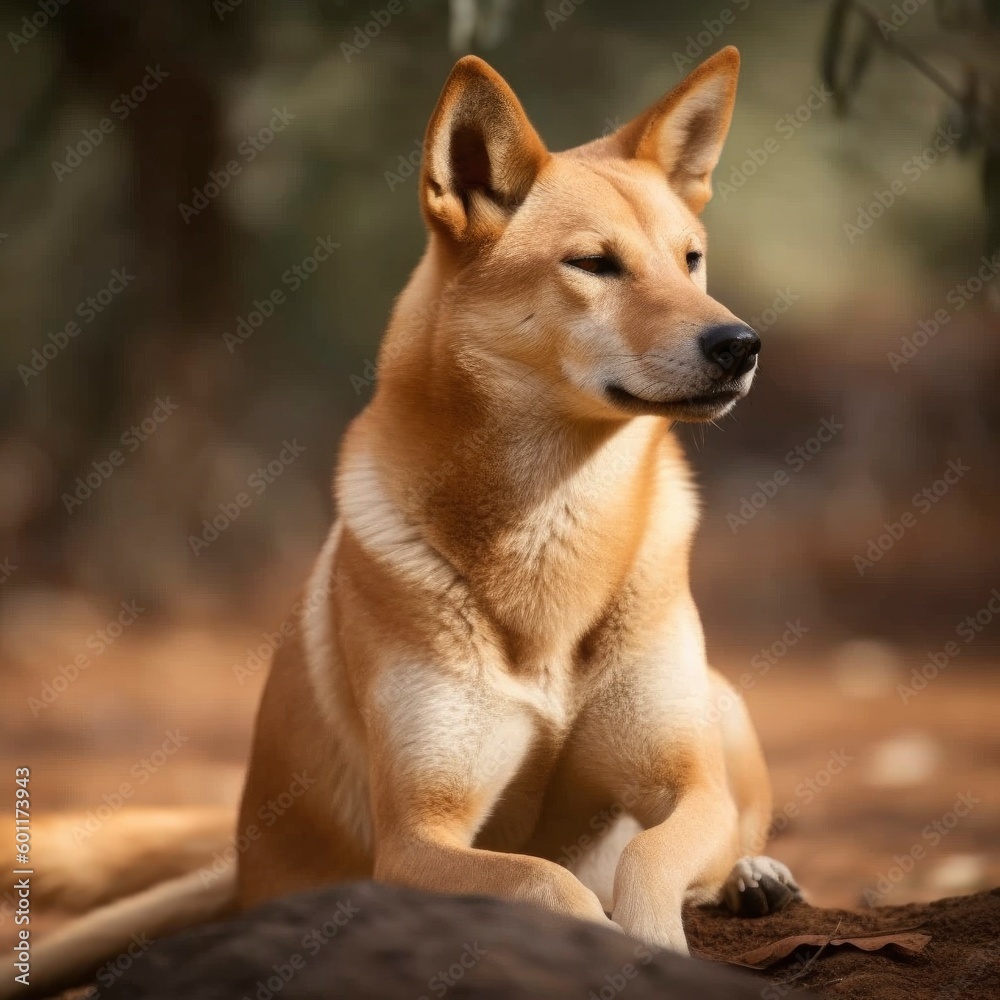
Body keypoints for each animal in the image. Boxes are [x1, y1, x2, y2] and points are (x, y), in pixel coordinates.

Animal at [7, 47, 796, 1000]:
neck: (552, 531)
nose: (740, 344)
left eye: (691, 260)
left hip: (720, 702)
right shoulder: (420, 834)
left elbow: (651, 855)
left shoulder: (688, 785)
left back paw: (756, 877)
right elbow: (551, 883)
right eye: (593, 264)